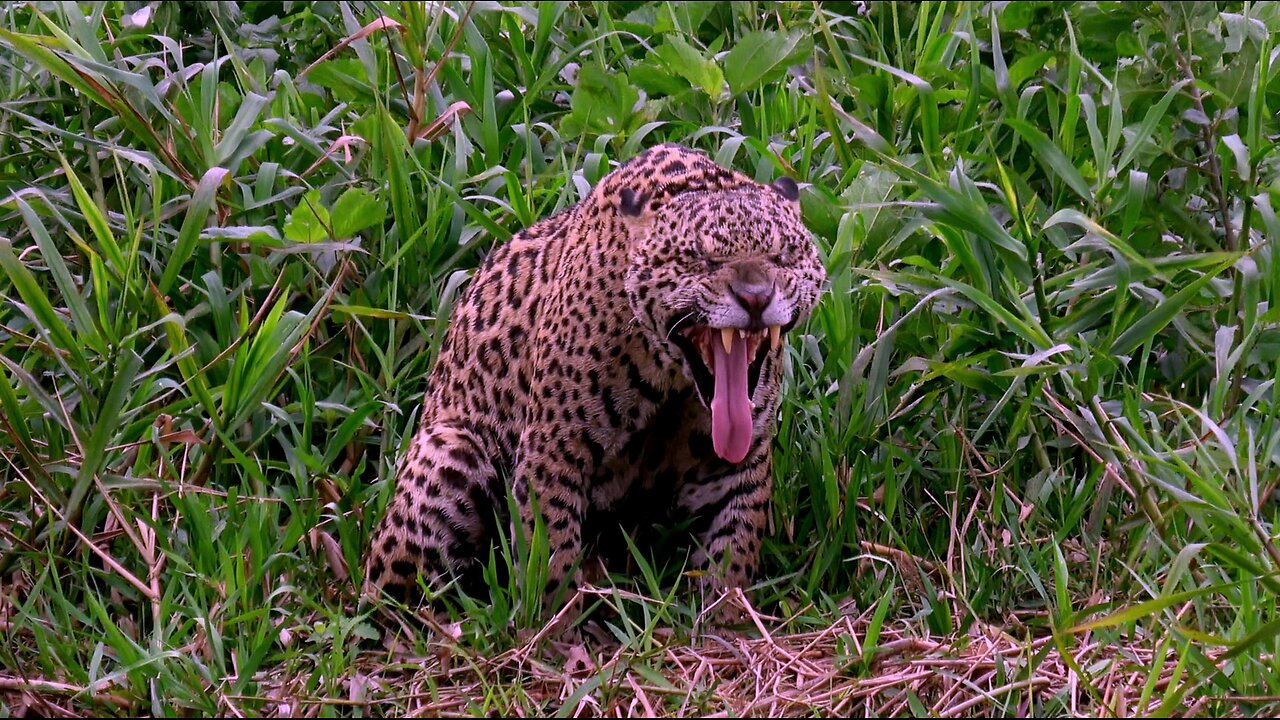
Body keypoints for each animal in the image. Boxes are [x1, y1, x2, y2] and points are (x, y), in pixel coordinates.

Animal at [364, 143, 827, 623]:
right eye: (702, 259)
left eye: (784, 255)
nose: (755, 298)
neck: (674, 381)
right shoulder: (552, 450)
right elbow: (548, 554)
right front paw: (552, 631)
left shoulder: (739, 462)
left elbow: (733, 548)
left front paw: (726, 619)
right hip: (450, 450)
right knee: (387, 590)